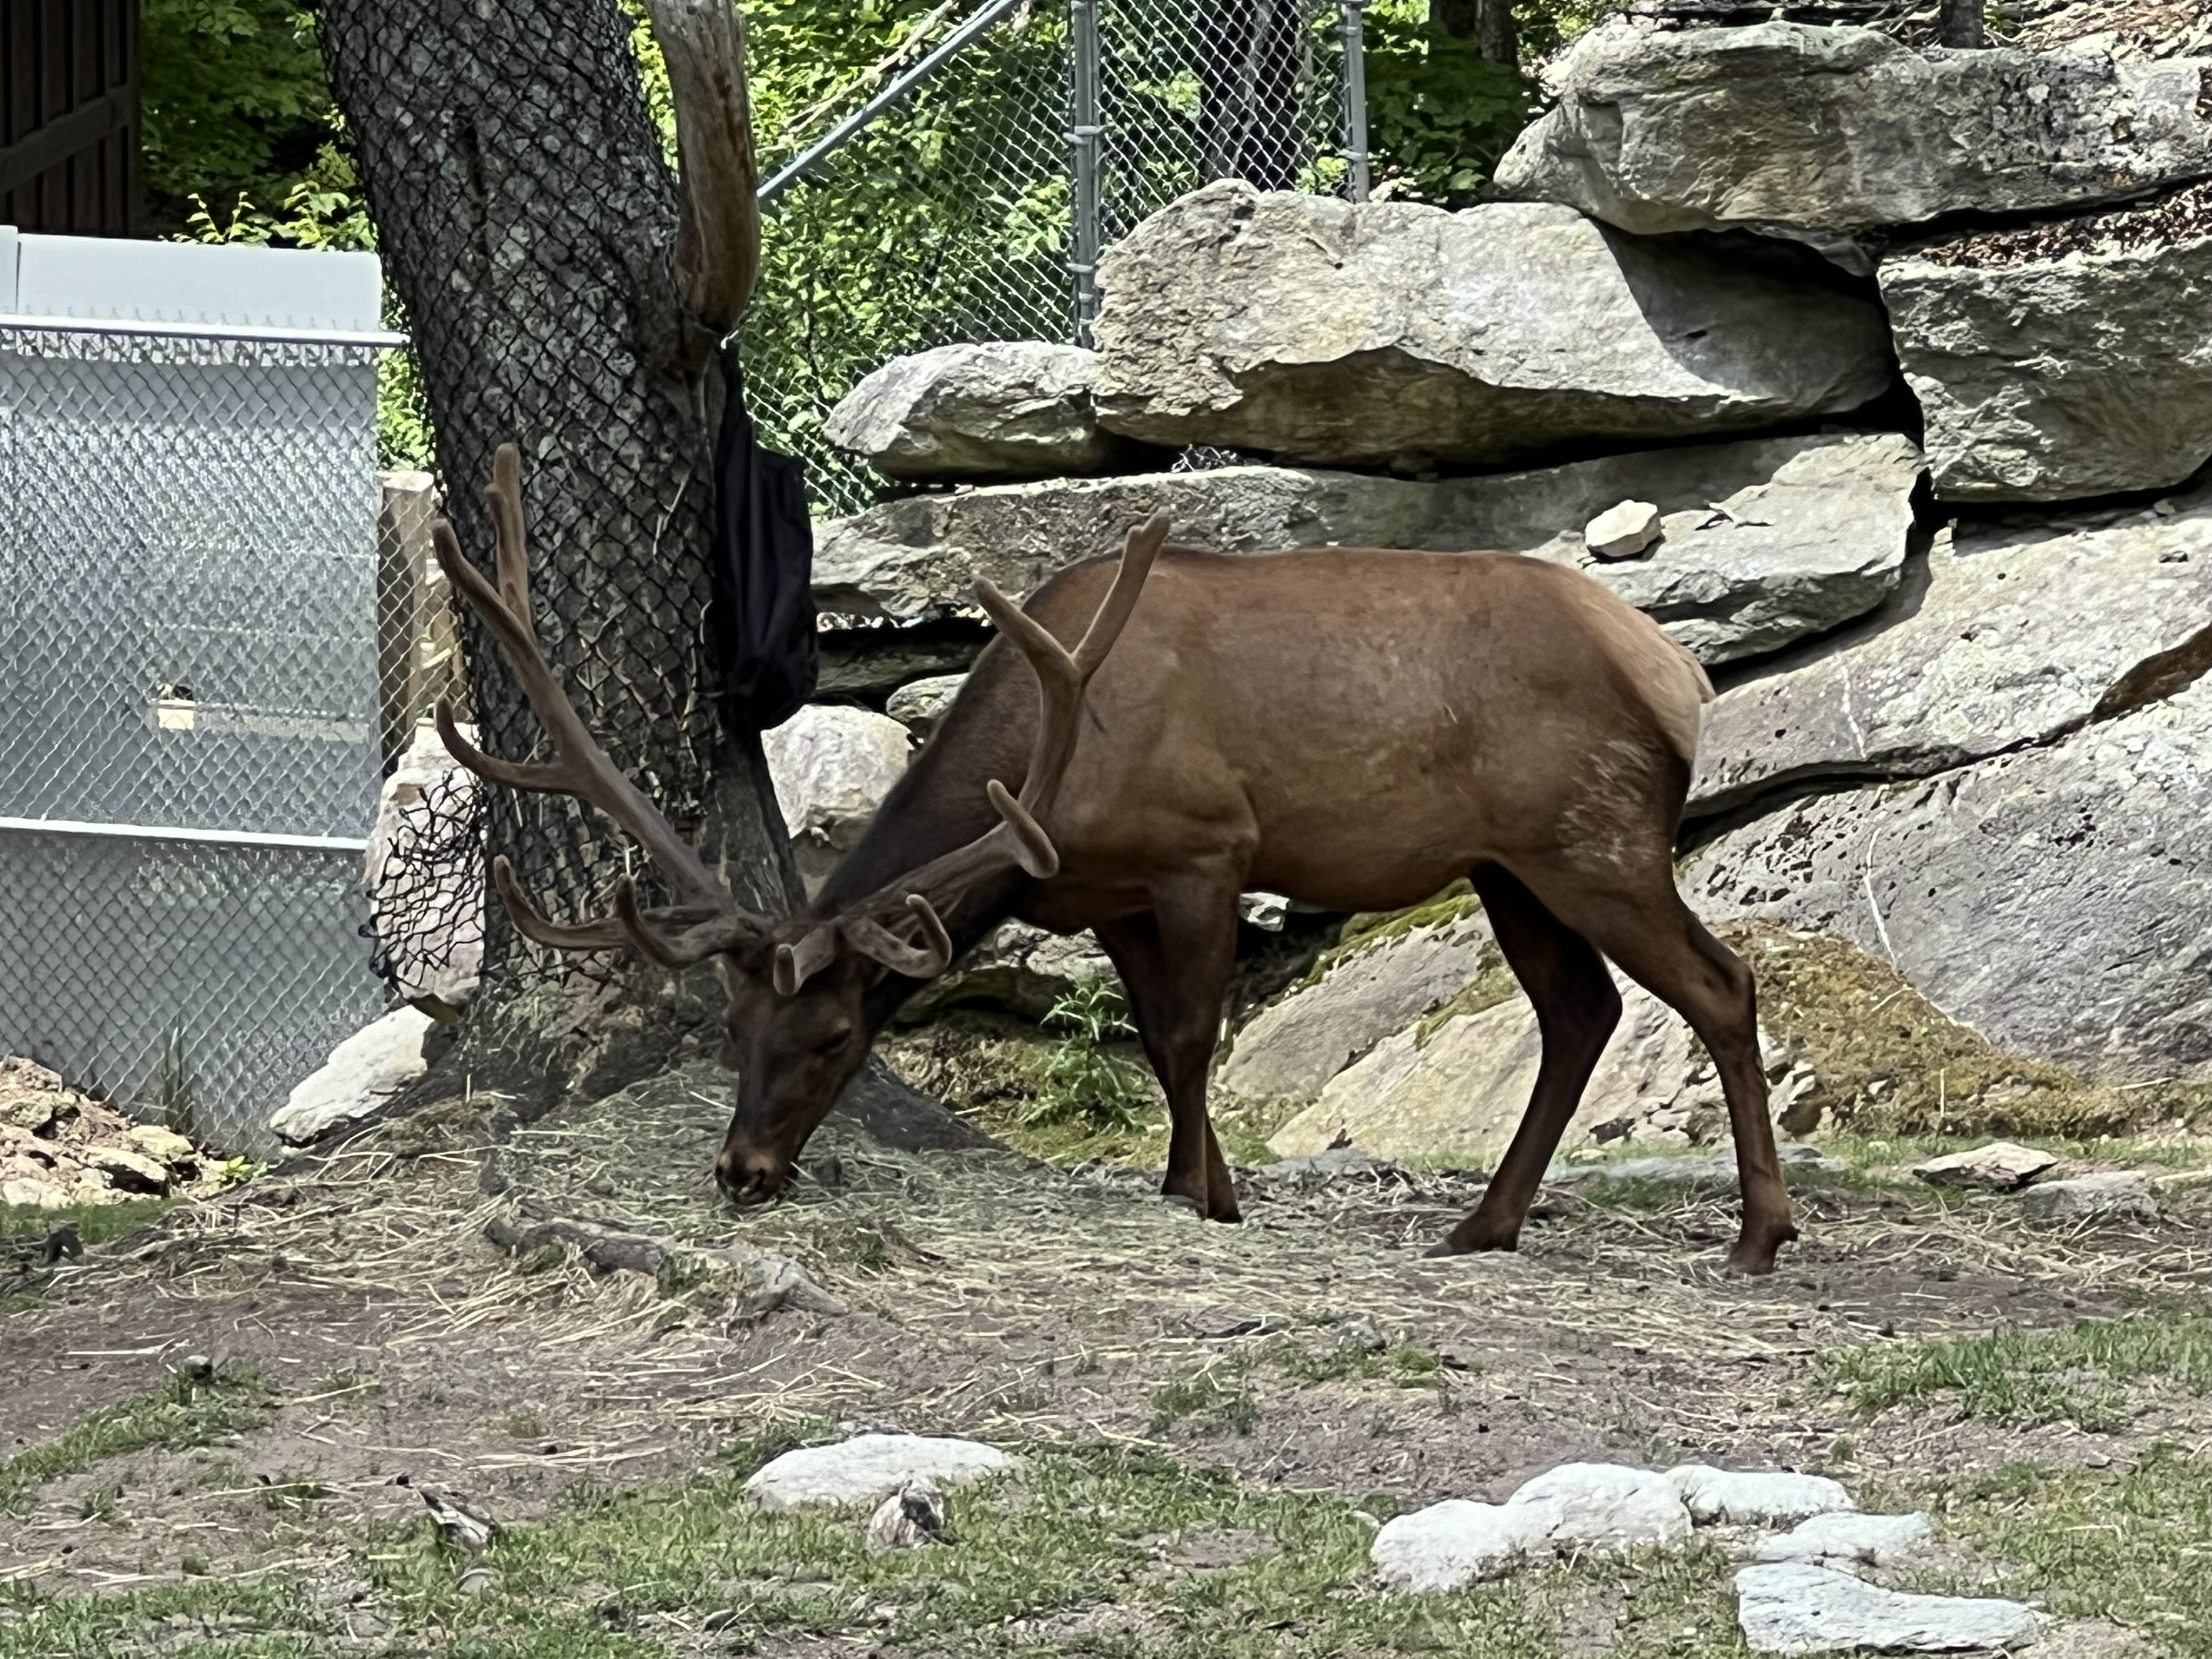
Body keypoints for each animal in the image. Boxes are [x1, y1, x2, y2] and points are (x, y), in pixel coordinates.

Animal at [432, 445, 1799, 1274]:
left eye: (833, 1037)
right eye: (732, 1030)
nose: (744, 1171)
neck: (1058, 760)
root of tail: (1677, 673)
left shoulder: (1206, 848)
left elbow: (1194, 1039)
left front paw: (1211, 1200)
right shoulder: (1108, 897)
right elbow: (1151, 1039)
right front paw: (1186, 1183)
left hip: (1595, 836)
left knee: (1719, 984)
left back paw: (1757, 1236)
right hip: (1510, 865)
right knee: (1582, 1011)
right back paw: (1485, 1223)